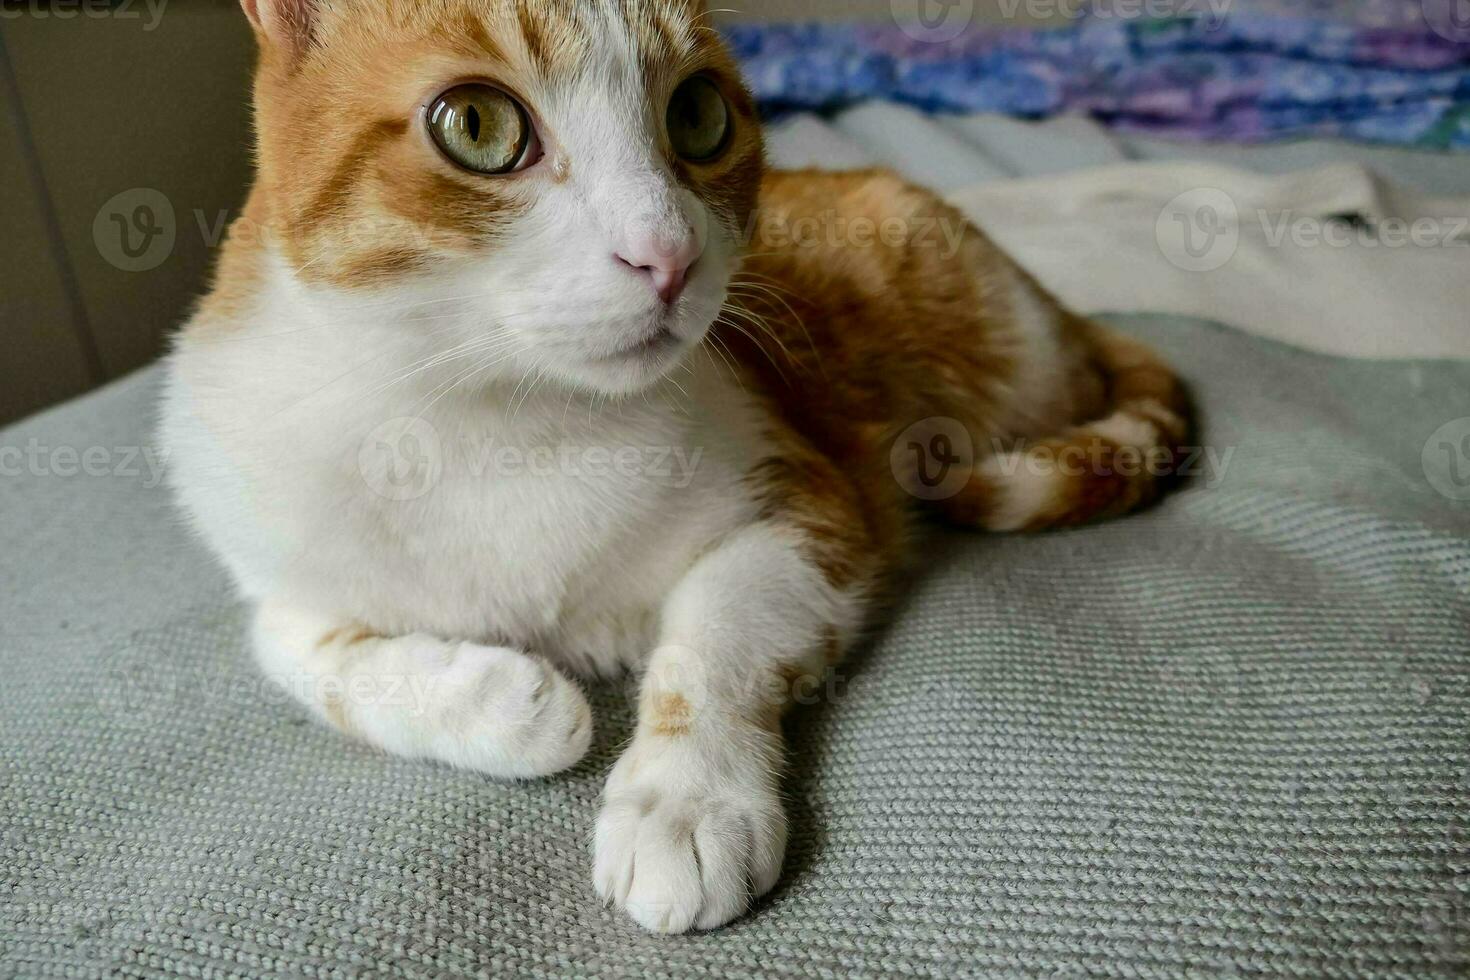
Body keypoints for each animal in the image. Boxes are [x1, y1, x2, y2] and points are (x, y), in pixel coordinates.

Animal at [163, 0, 1193, 934]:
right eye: (478, 126)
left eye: (698, 114)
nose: (669, 255)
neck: (485, 418)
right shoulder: (274, 568)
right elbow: (308, 656)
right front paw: (506, 702)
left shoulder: (809, 504)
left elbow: (713, 640)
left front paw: (683, 803)